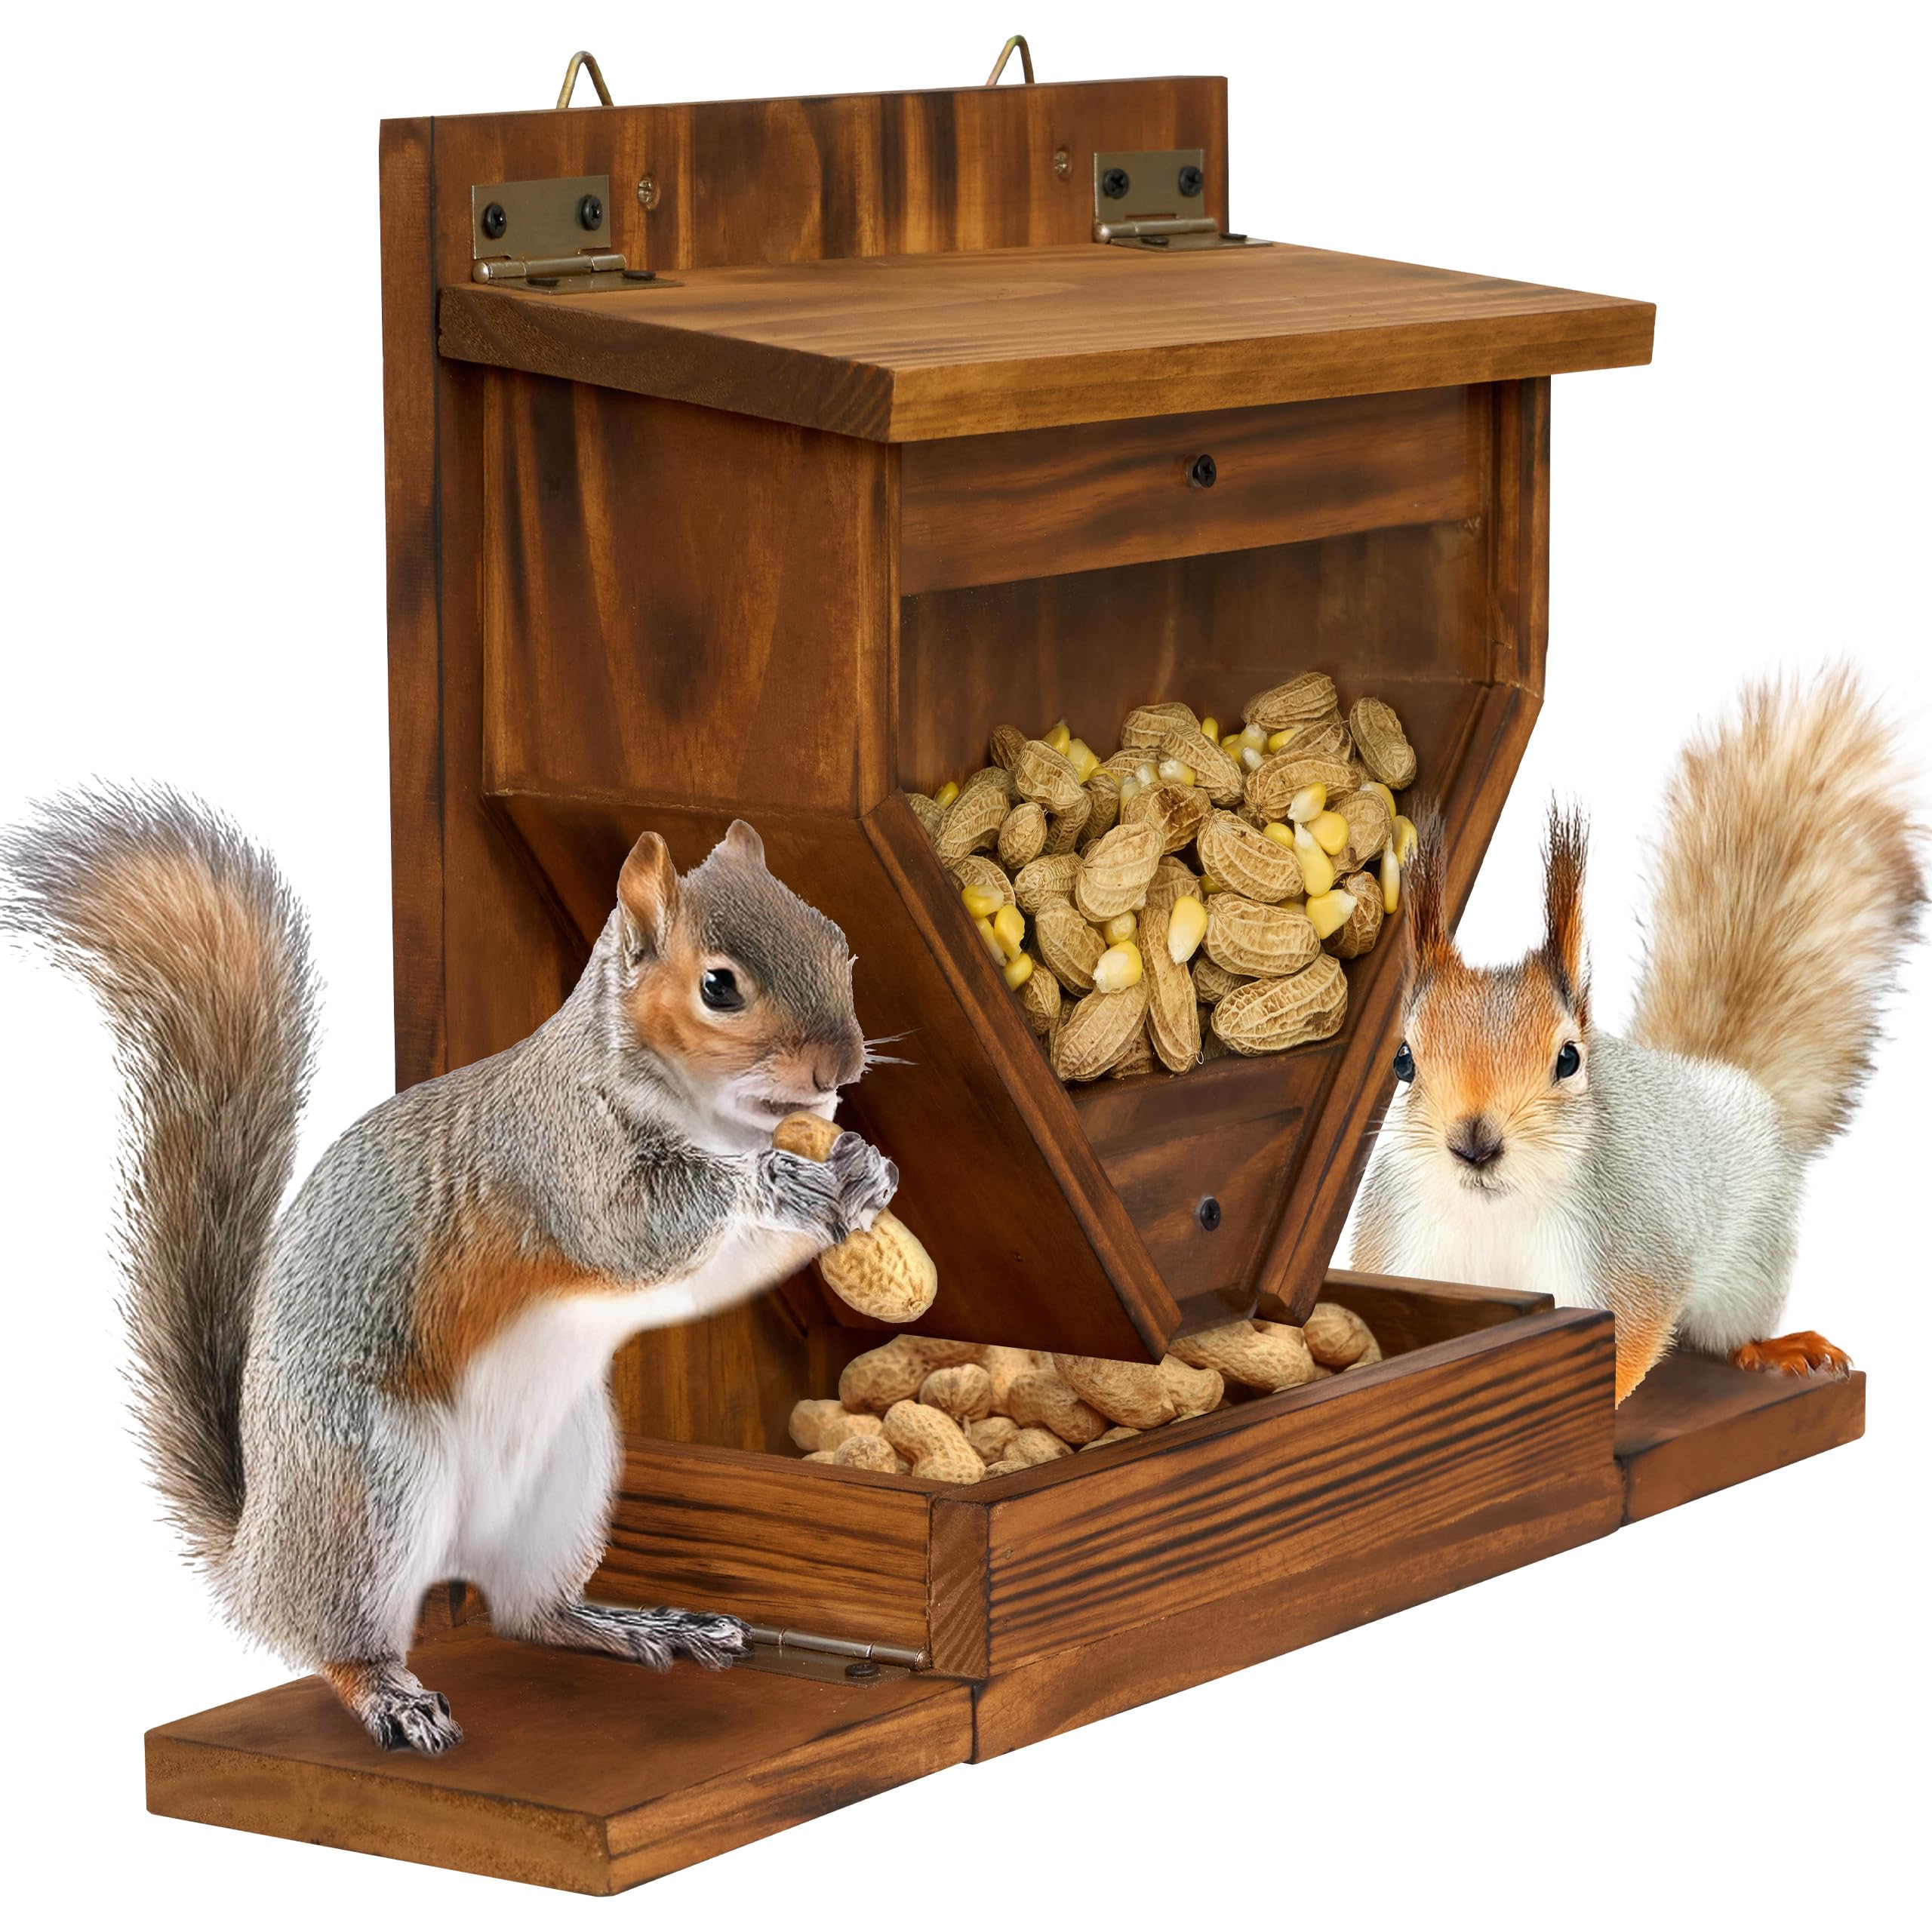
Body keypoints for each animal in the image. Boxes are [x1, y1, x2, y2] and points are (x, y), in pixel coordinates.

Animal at [0, 792, 897, 1754]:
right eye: (719, 986)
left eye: (840, 944)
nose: (839, 1068)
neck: (709, 1116)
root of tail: (255, 1558)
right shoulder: (556, 1155)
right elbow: (637, 1228)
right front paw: (777, 1178)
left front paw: (863, 1170)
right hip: (366, 1481)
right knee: (336, 1637)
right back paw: (389, 1694)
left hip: (564, 1480)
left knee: (530, 1613)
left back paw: (633, 1624)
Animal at [1352, 669, 1924, 1404]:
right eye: (1403, 1061)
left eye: (1569, 1059)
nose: (1474, 1144)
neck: (1495, 1216)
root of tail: (1715, 1074)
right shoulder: (1400, 1252)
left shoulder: (1629, 1259)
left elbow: (1631, 1341)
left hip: (1751, 1261)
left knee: (1729, 1327)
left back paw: (1773, 1347)